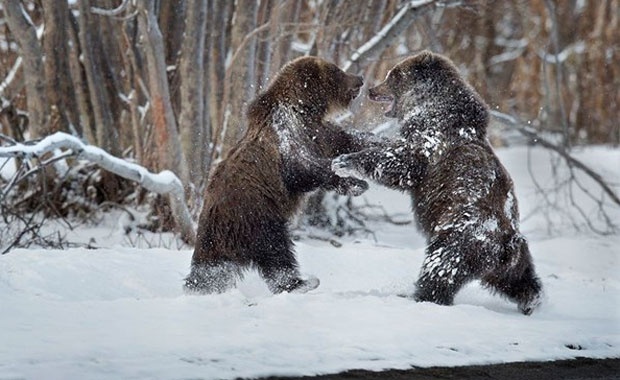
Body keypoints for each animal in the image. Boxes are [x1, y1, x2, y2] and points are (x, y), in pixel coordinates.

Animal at [184, 55, 378, 294]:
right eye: (337, 71)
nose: (359, 78)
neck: (305, 108)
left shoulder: (318, 132)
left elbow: (344, 139)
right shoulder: (288, 135)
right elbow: (305, 168)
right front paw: (356, 184)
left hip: (214, 242)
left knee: (210, 270)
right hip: (258, 216)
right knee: (277, 251)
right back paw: (301, 283)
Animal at [330, 50, 544, 314]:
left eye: (393, 74)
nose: (371, 89)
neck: (432, 110)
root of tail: (505, 245)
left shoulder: (431, 144)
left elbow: (401, 163)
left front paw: (344, 161)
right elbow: (388, 146)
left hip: (461, 235)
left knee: (440, 267)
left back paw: (420, 297)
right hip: (509, 259)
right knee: (520, 277)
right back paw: (532, 301)